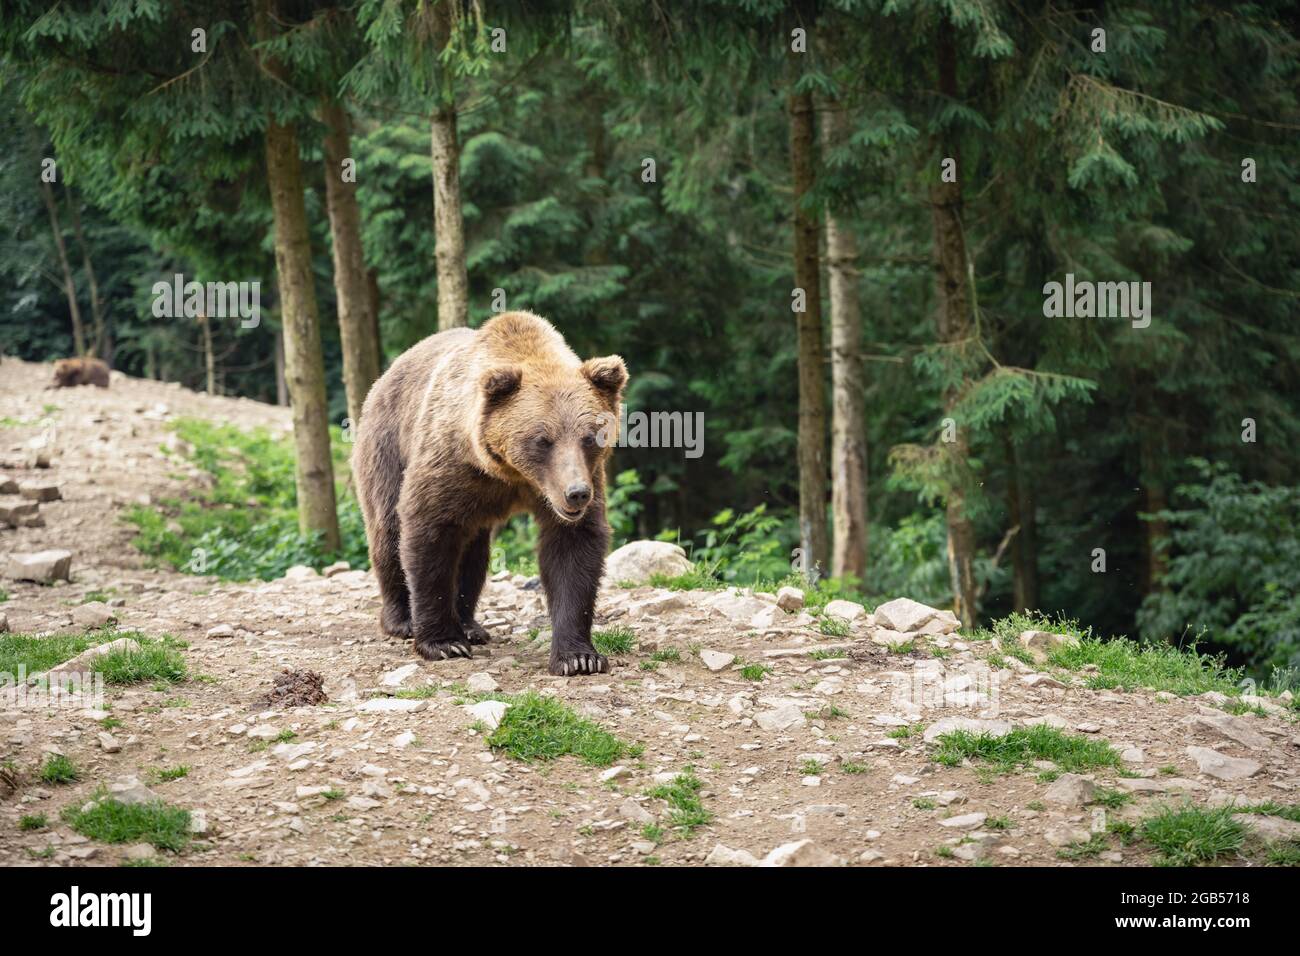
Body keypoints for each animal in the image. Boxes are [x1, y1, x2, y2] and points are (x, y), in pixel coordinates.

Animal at [352, 311, 627, 676]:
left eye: (589, 437)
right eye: (543, 439)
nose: (576, 494)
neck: (510, 474)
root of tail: (386, 374)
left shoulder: (579, 479)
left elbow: (573, 548)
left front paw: (578, 657)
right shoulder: (450, 465)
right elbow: (428, 533)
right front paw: (443, 643)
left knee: (473, 553)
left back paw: (470, 625)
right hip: (386, 446)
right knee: (387, 531)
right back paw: (402, 620)